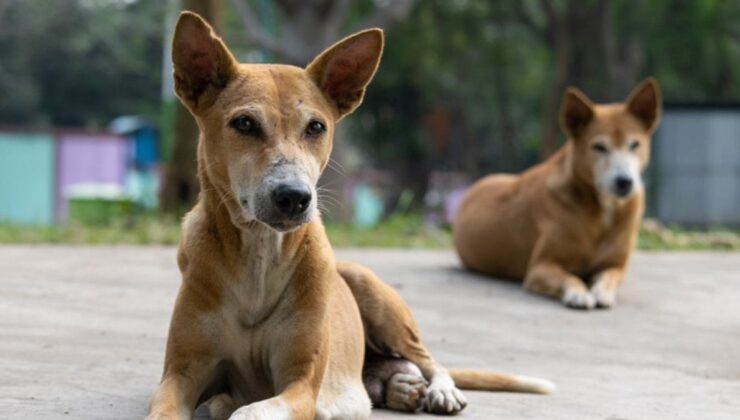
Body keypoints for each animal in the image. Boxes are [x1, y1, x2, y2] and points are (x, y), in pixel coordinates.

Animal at [147, 12, 552, 420]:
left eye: (316, 127)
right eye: (244, 123)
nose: (294, 197)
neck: (259, 253)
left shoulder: (301, 384)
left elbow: (258, 409)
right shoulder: (181, 373)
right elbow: (169, 405)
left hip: (373, 294)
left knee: (426, 358)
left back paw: (437, 388)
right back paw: (394, 385)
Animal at [454, 78, 660, 308]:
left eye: (634, 144)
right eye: (599, 147)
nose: (624, 182)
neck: (602, 211)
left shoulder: (615, 266)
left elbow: (609, 277)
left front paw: (603, 291)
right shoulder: (540, 267)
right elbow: (568, 278)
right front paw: (578, 292)